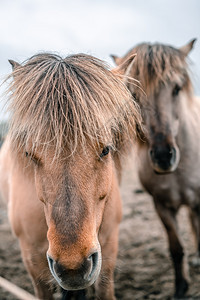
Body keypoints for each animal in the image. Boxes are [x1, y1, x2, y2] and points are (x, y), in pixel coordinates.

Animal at [111, 39, 200, 298]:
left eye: (176, 89)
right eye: (134, 95)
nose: (163, 156)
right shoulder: (162, 206)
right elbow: (176, 248)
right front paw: (181, 287)